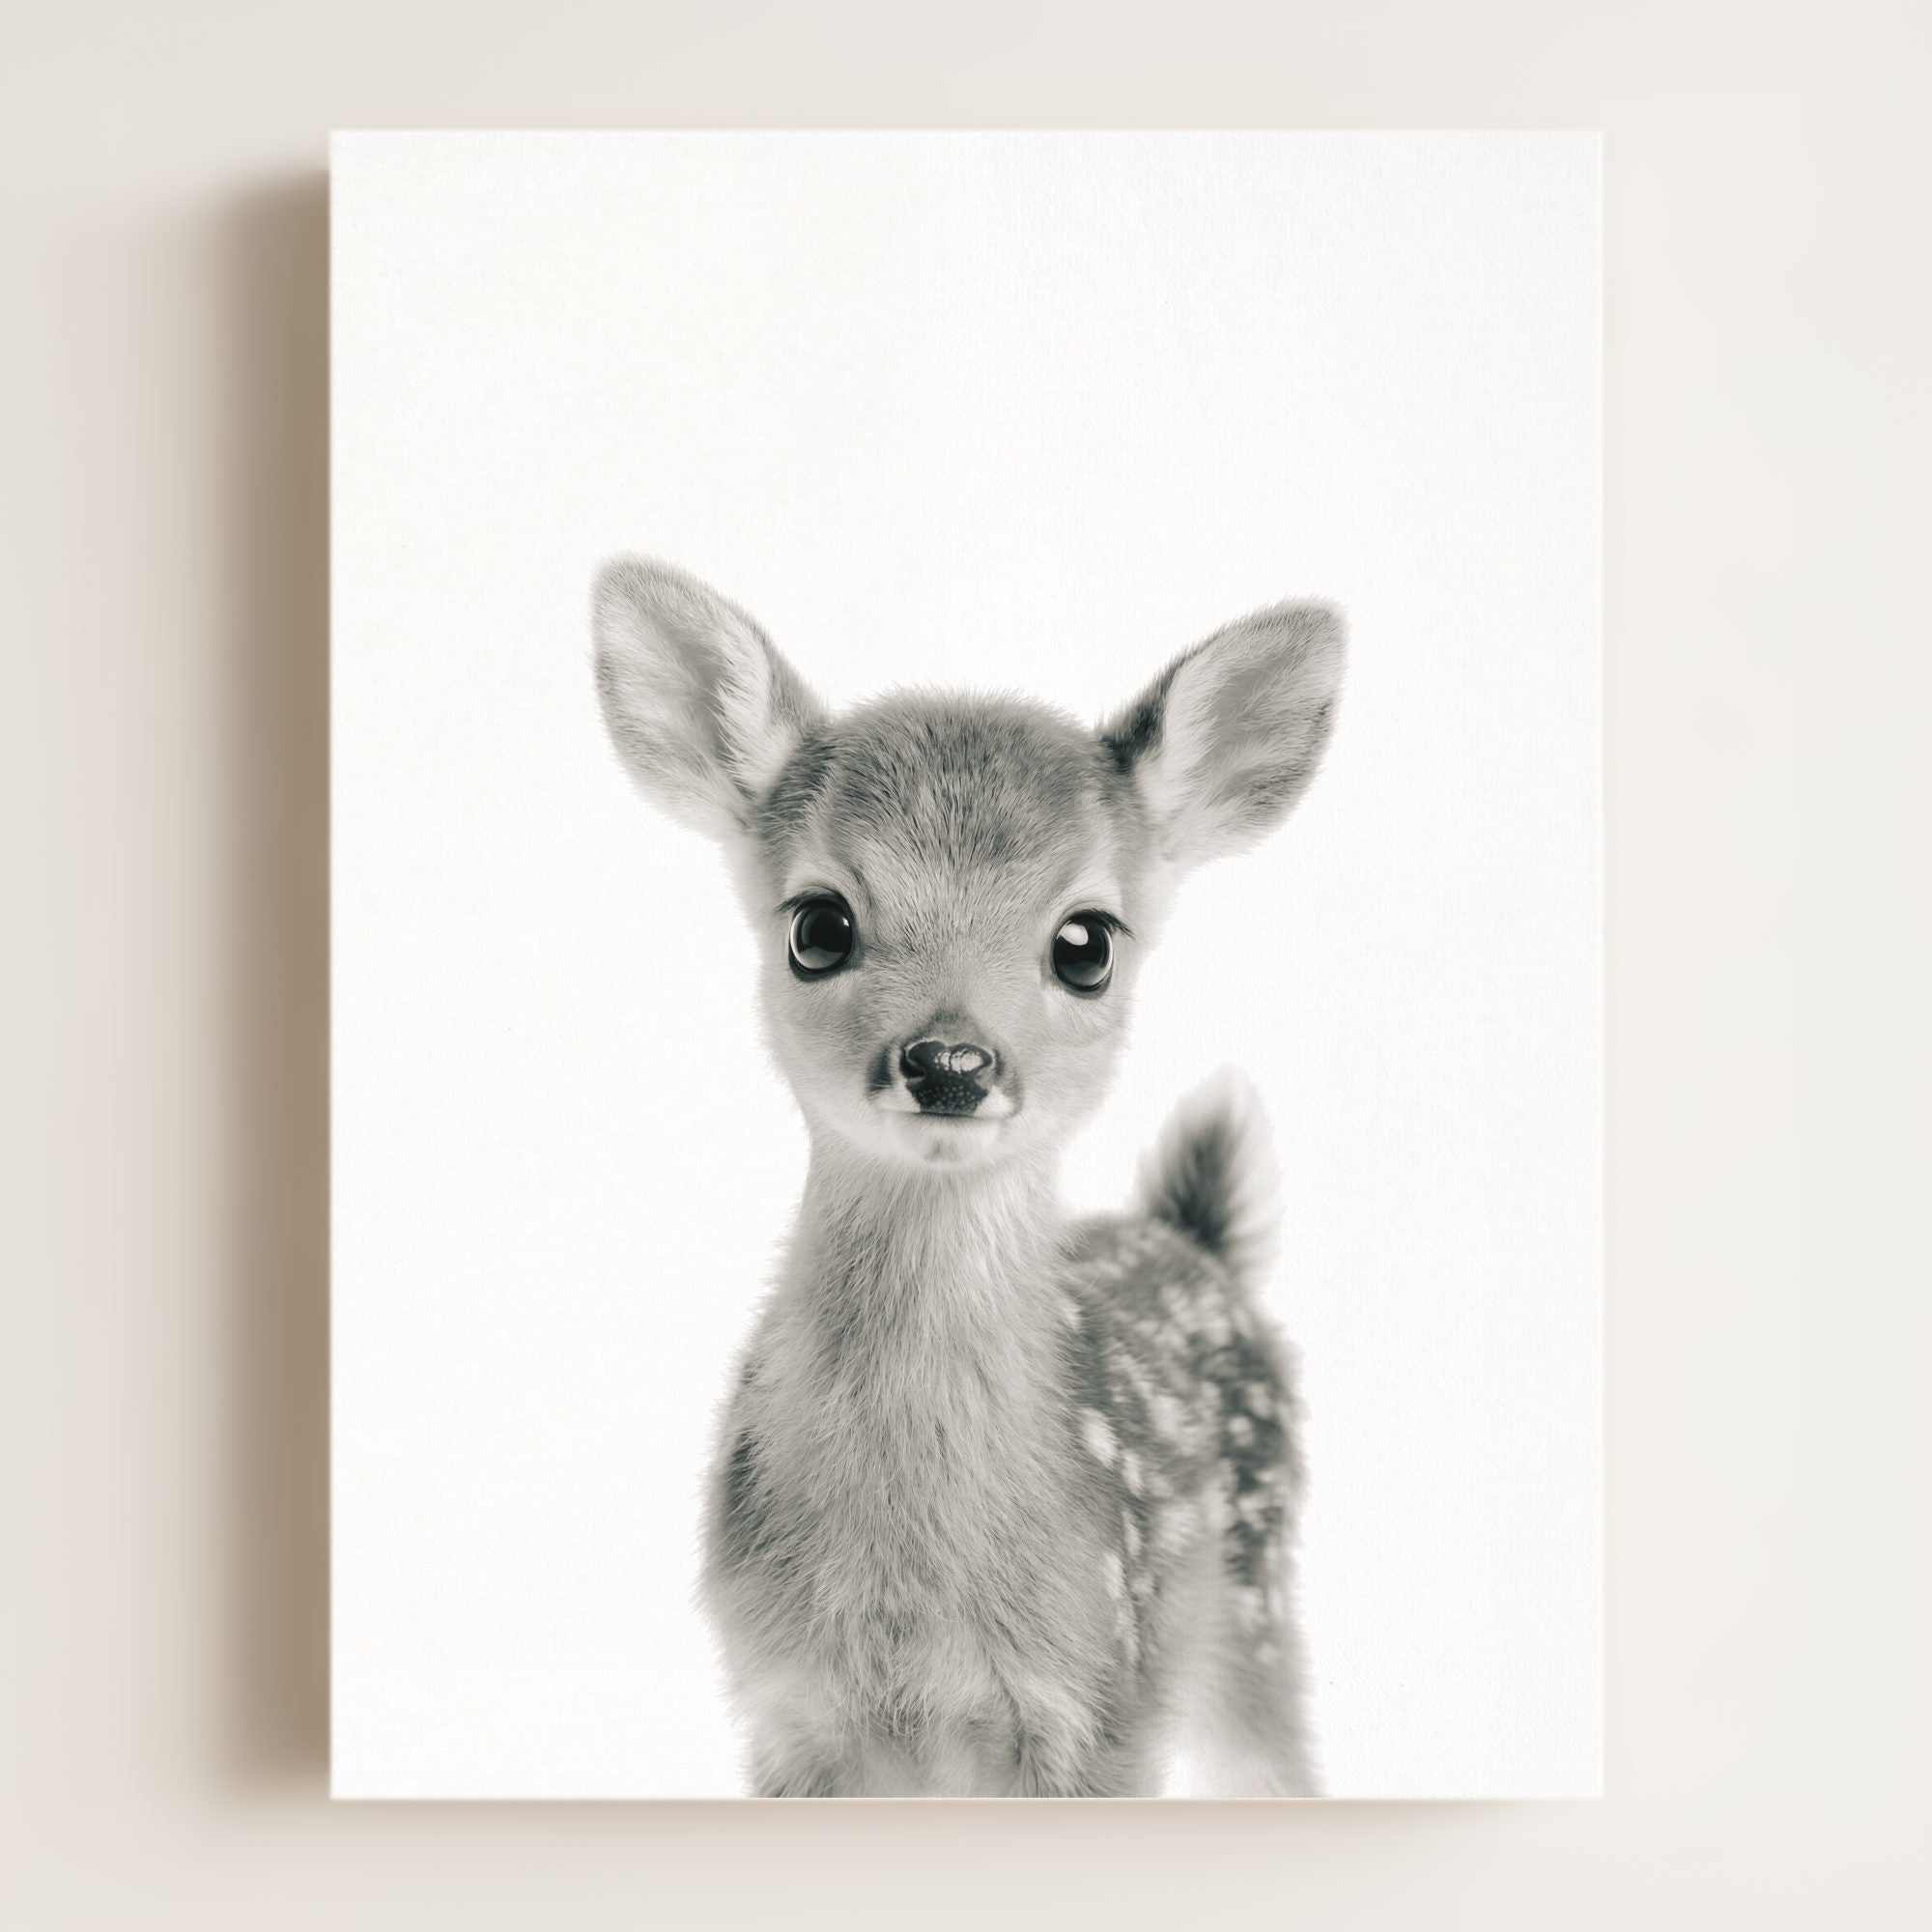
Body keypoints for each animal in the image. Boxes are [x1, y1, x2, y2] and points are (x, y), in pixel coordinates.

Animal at [593, 557, 1344, 1797]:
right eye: (817, 924)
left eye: (1086, 942)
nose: (949, 1062)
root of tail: (1193, 1239)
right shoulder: (784, 1709)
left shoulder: (1102, 1702)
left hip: (1257, 1607)